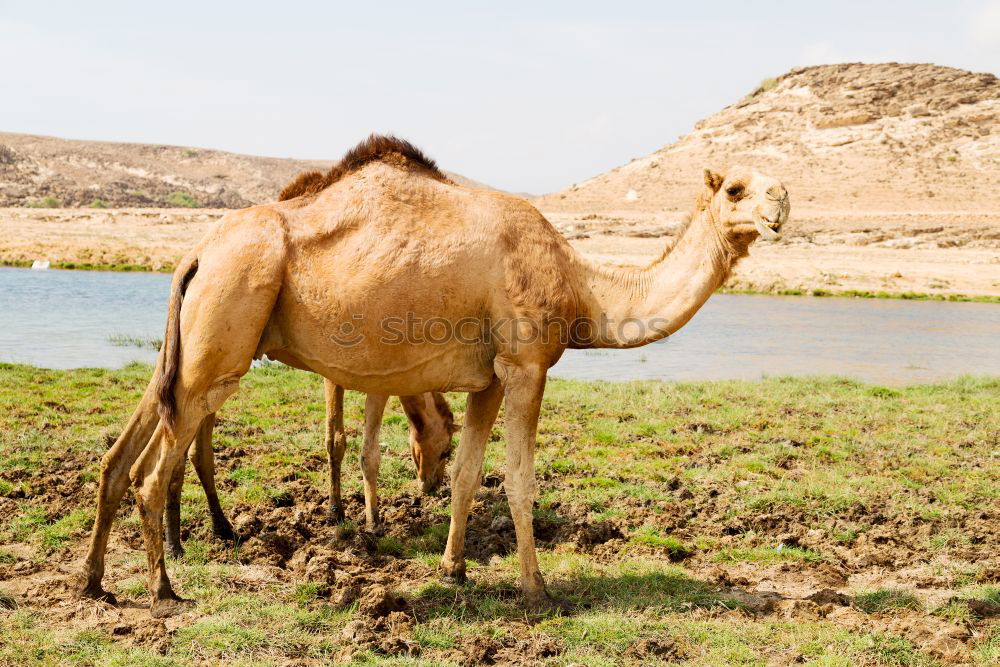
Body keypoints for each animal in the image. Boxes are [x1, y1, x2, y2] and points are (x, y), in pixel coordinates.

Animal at [162, 376, 458, 560]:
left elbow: (337, 441)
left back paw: (219, 528)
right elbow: (355, 448)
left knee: (197, 450)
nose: (432, 486)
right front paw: (370, 521)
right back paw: (178, 543)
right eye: (447, 451)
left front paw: (335, 512)